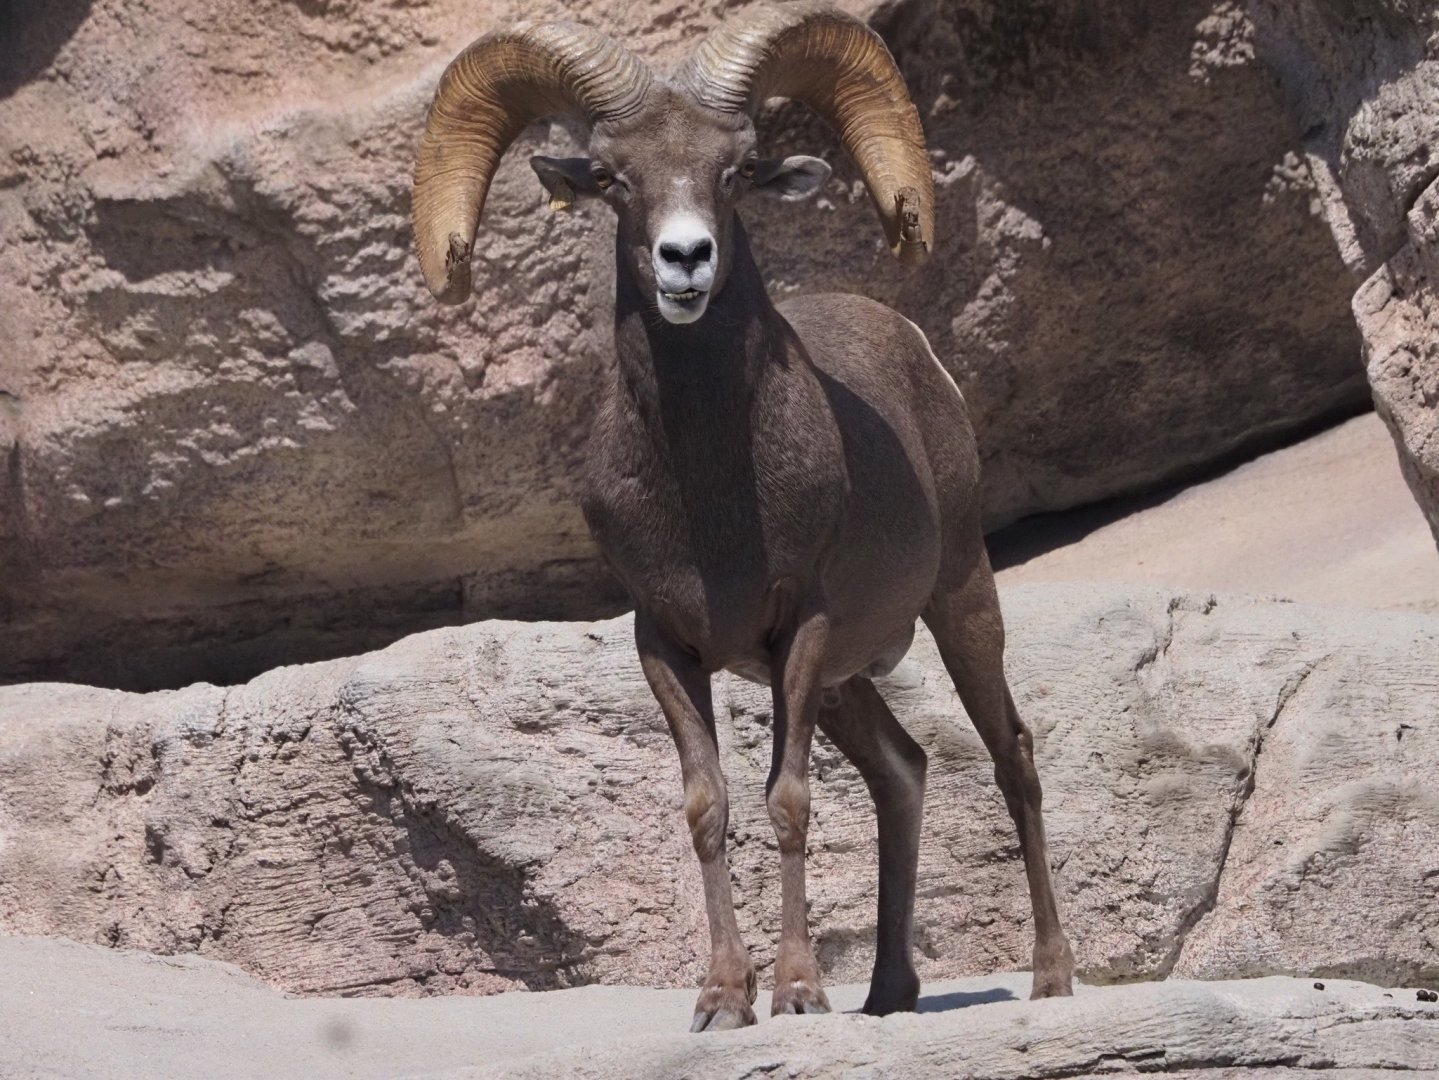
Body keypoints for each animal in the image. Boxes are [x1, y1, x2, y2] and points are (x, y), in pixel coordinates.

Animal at [412, 1, 1074, 1030]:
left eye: (735, 167)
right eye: (613, 177)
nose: (686, 260)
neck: (712, 496)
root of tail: (919, 351)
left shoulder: (800, 628)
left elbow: (788, 801)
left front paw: (798, 994)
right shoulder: (666, 642)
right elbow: (709, 807)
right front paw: (724, 999)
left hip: (960, 599)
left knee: (1011, 755)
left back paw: (1050, 978)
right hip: (847, 684)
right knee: (903, 772)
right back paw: (886, 995)